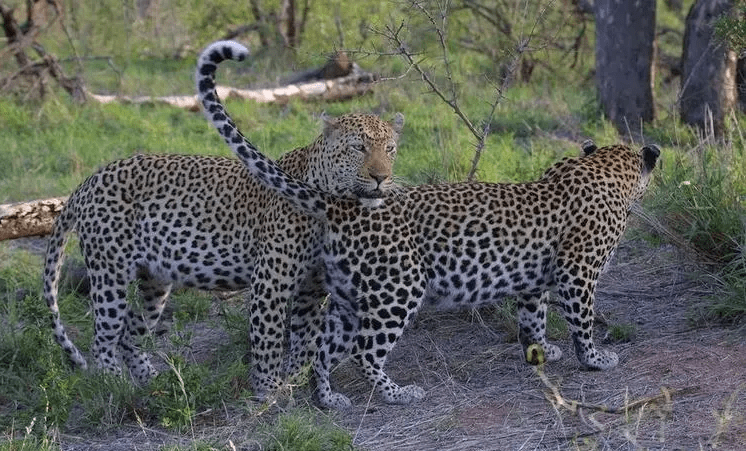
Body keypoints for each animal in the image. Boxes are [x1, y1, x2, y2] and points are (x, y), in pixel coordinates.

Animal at [42, 40, 402, 398]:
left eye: (391, 149)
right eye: (357, 148)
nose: (381, 177)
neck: (328, 199)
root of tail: (87, 182)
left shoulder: (311, 288)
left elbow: (305, 340)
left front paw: (296, 381)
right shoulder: (270, 282)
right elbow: (269, 339)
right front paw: (268, 391)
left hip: (154, 281)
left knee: (131, 333)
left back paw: (153, 386)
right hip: (110, 273)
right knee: (103, 339)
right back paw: (114, 386)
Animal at [198, 41, 656, 410]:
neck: (603, 170)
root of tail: (343, 205)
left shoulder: (533, 282)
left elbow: (533, 317)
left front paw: (542, 350)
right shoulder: (577, 272)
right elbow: (582, 319)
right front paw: (594, 359)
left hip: (351, 296)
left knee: (323, 349)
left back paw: (328, 399)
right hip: (398, 288)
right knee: (364, 351)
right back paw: (398, 394)